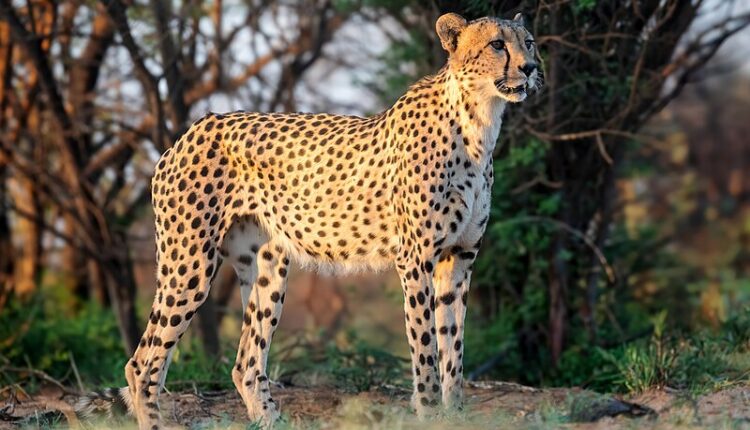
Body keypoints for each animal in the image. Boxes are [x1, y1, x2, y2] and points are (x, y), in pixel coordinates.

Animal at [75, 12, 541, 429]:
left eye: (529, 42)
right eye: (497, 44)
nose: (531, 68)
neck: (479, 122)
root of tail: (193, 128)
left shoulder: (458, 259)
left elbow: (454, 352)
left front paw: (455, 415)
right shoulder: (416, 260)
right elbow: (426, 351)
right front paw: (430, 416)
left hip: (267, 267)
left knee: (246, 363)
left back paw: (271, 421)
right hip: (189, 264)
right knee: (143, 364)